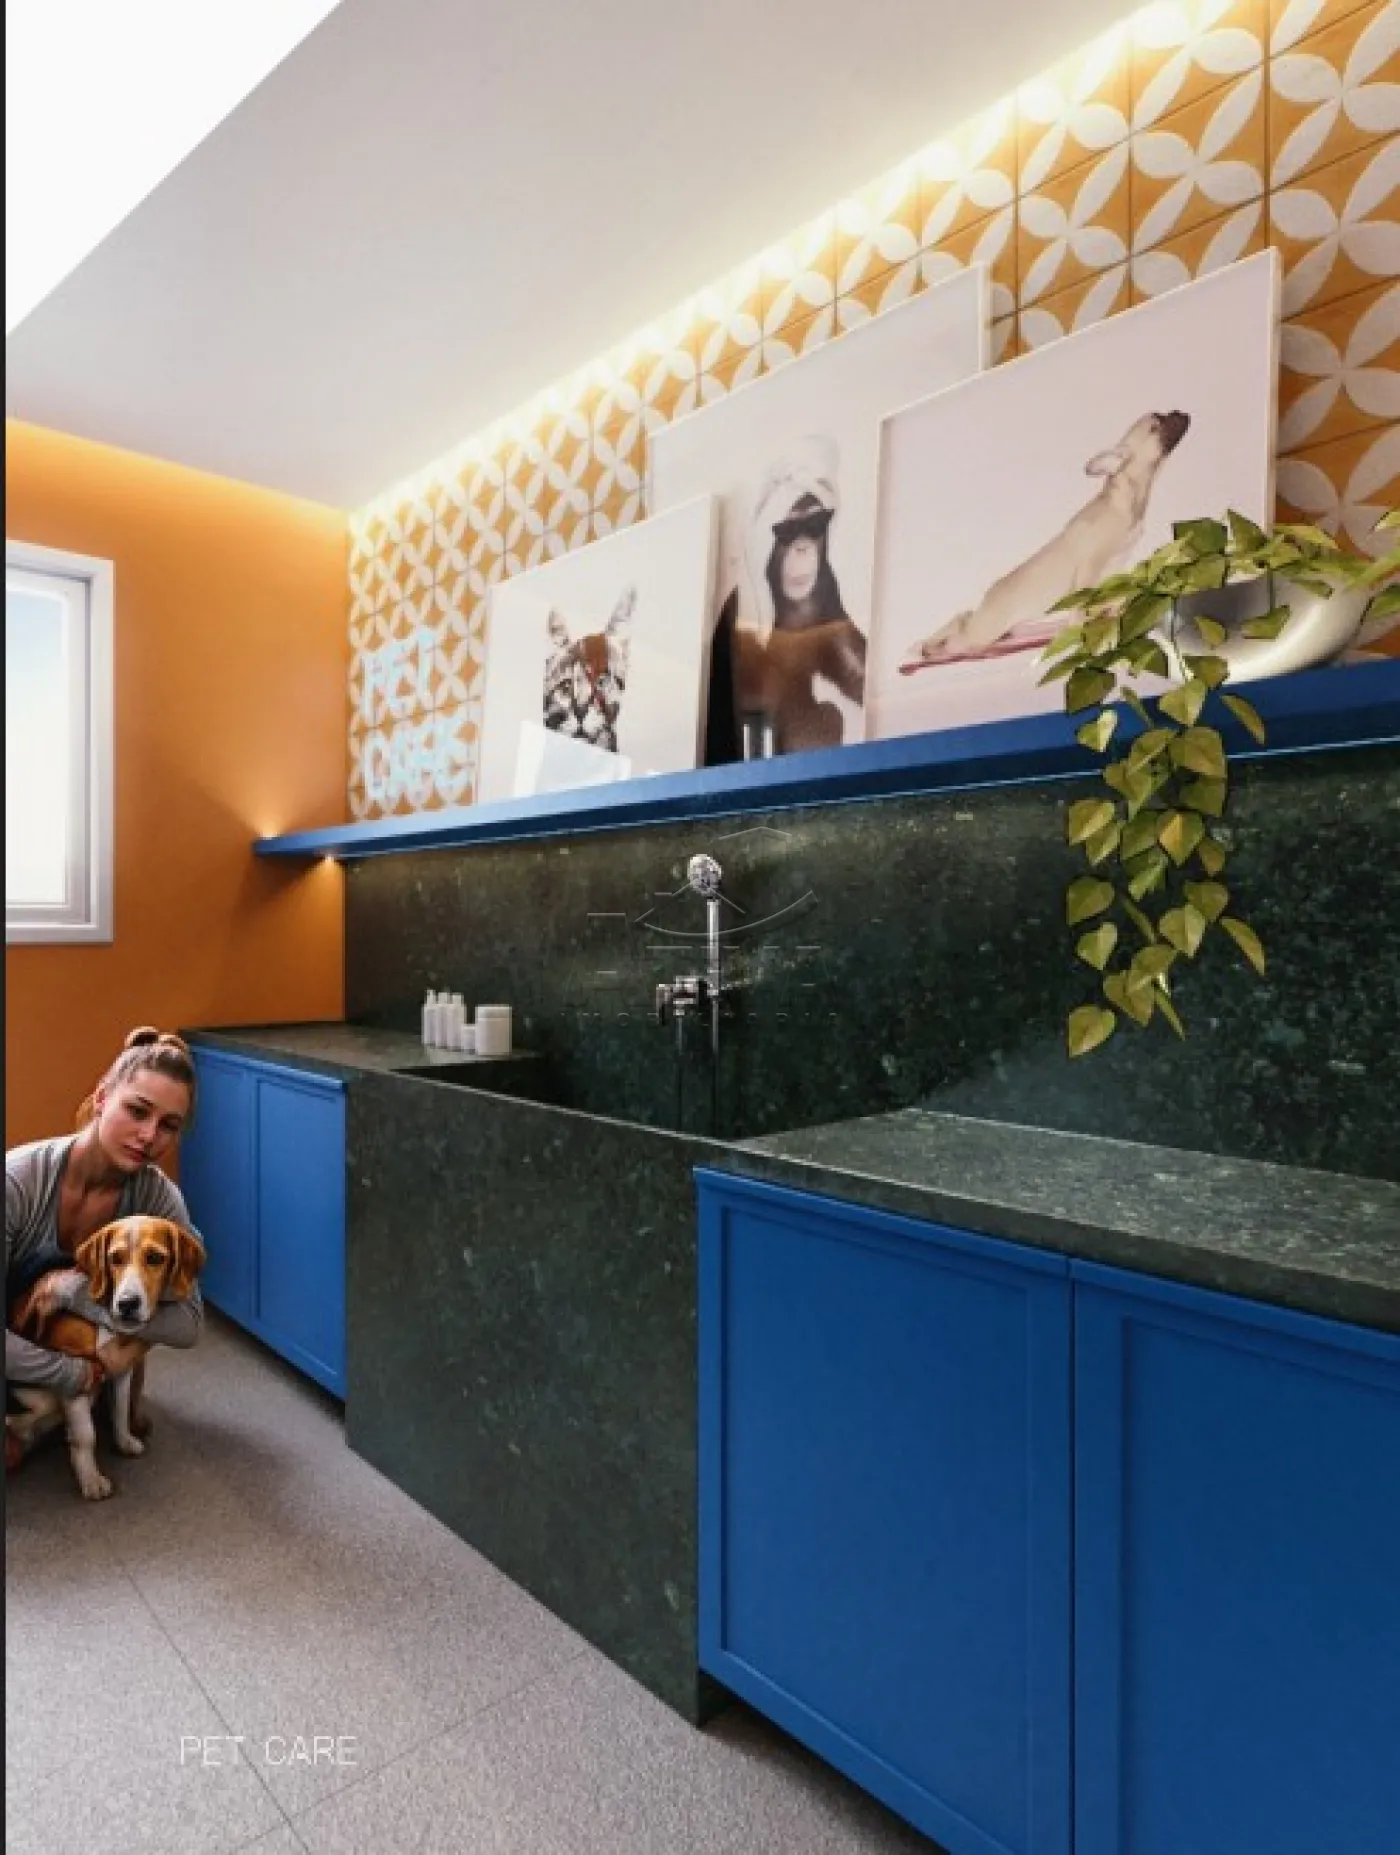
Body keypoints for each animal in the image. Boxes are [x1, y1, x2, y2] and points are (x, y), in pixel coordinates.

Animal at [7, 1216, 205, 1500]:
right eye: (115, 1258)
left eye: (155, 1258)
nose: (127, 1304)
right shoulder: (78, 1371)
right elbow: (86, 1435)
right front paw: (90, 1478)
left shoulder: (122, 1369)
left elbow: (120, 1409)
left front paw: (123, 1441)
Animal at [899, 409, 1191, 672]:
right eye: (1156, 424)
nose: (1179, 411)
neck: (1126, 498)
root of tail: (990, 596)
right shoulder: (1089, 566)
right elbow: (1084, 602)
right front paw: (1084, 627)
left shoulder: (1115, 563)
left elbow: (1109, 594)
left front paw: (1111, 609)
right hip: (982, 632)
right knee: (959, 627)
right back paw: (927, 647)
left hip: (997, 627)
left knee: (967, 618)